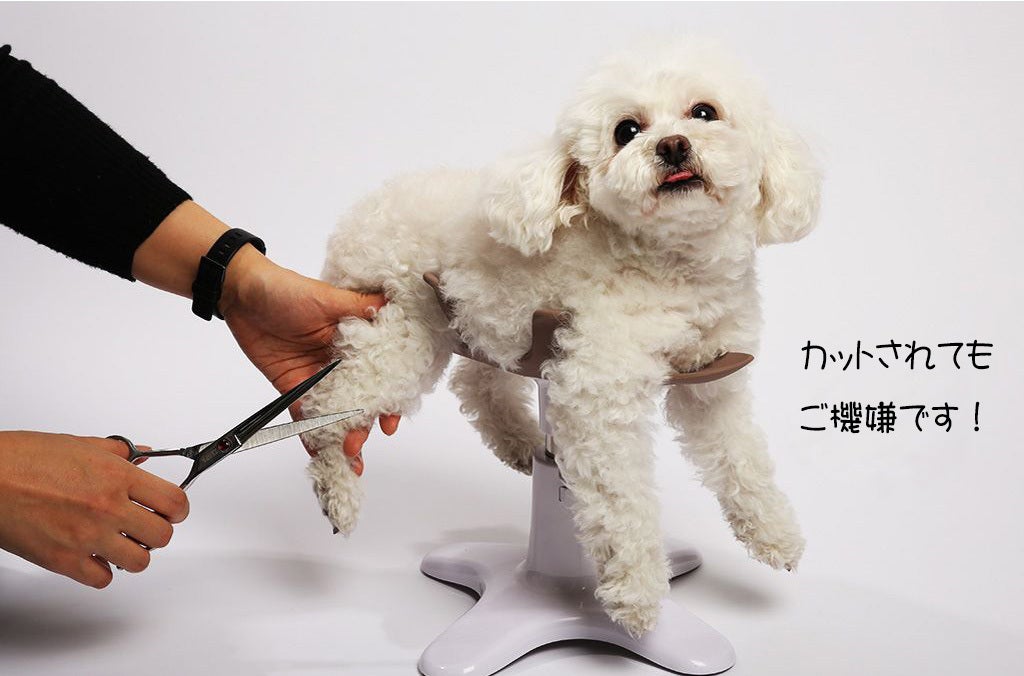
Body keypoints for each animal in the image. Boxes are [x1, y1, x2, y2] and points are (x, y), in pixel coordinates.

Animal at [301, 42, 821, 637]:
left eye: (704, 112)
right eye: (626, 130)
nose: (672, 145)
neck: (672, 265)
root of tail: (358, 215)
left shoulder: (709, 381)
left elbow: (742, 460)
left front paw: (775, 533)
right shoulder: (598, 387)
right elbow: (622, 500)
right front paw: (637, 595)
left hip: (485, 320)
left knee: (475, 382)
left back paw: (519, 443)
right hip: (406, 324)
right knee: (328, 406)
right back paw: (339, 497)